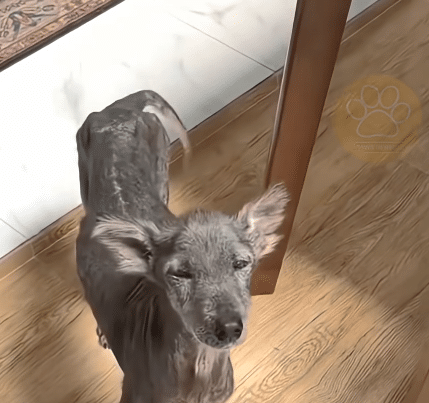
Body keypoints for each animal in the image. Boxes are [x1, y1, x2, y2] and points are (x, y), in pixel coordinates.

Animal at [75, 90, 289, 403]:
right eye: (180, 273)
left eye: (241, 263)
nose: (228, 327)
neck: (199, 373)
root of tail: (119, 107)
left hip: (163, 167)